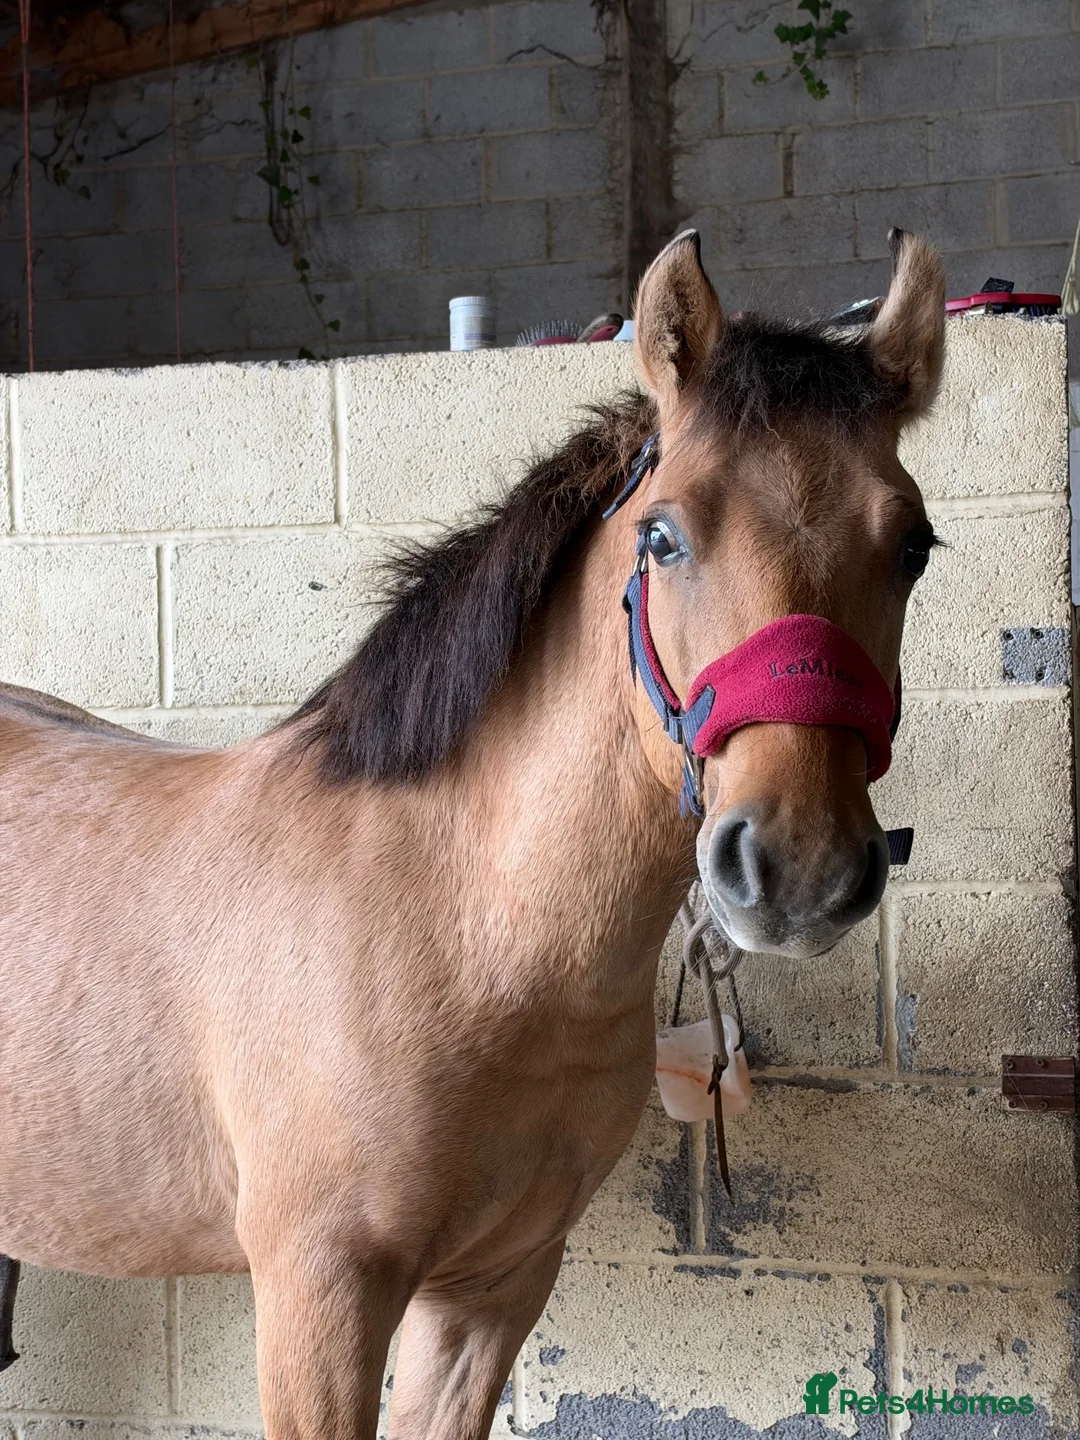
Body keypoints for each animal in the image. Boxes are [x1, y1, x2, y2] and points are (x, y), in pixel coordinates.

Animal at [0, 228, 945, 1439]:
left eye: (914, 546)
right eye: (664, 536)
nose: (797, 869)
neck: (466, 923)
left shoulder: (495, 1289)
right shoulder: (319, 1295)